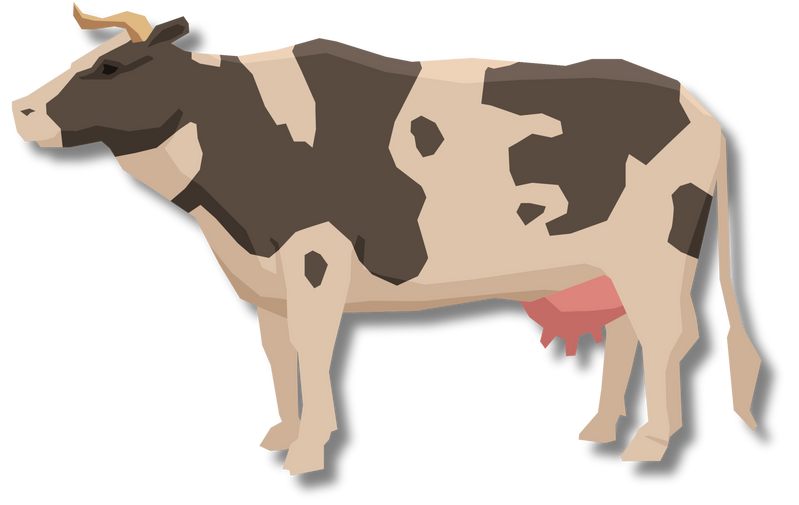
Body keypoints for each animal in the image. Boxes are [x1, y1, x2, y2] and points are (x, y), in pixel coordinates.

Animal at [9, 3, 761, 476]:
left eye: (110, 69)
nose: (19, 108)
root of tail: (697, 104)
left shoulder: (313, 257)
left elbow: (313, 347)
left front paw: (308, 449)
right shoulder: (266, 275)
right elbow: (278, 352)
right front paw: (284, 433)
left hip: (654, 256)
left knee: (668, 334)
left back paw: (650, 441)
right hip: (610, 264)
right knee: (631, 333)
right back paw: (602, 427)